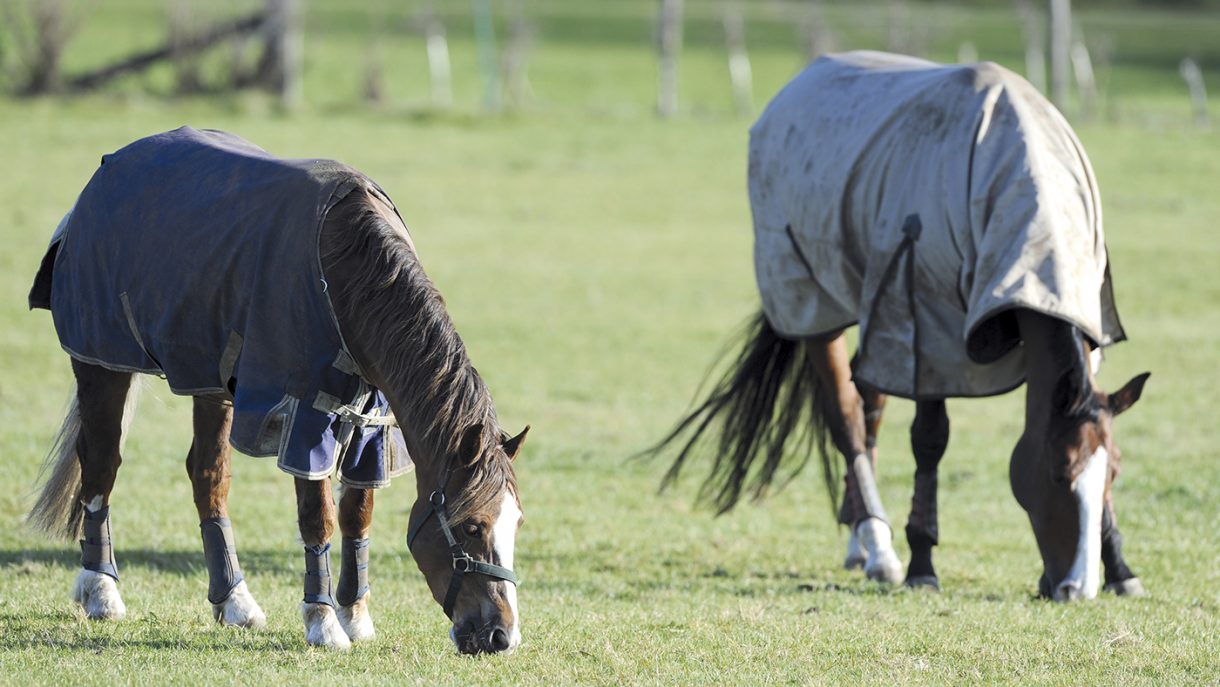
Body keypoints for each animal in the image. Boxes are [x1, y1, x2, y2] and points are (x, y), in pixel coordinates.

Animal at [26, 127, 528, 653]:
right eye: (472, 526)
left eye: (515, 523)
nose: (501, 635)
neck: (347, 271)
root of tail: (103, 175)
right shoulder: (304, 415)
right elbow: (318, 517)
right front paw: (323, 621)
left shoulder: (371, 423)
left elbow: (358, 513)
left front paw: (355, 615)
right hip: (100, 359)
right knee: (101, 463)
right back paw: (100, 588)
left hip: (209, 376)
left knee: (207, 476)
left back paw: (234, 600)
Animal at [651, 52, 1149, 601]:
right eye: (1060, 474)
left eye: (1115, 474)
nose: (1077, 588)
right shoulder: (929, 328)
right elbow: (929, 440)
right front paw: (921, 562)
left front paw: (1120, 568)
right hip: (815, 304)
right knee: (846, 418)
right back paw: (879, 548)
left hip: (878, 317)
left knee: (868, 405)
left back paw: (859, 541)